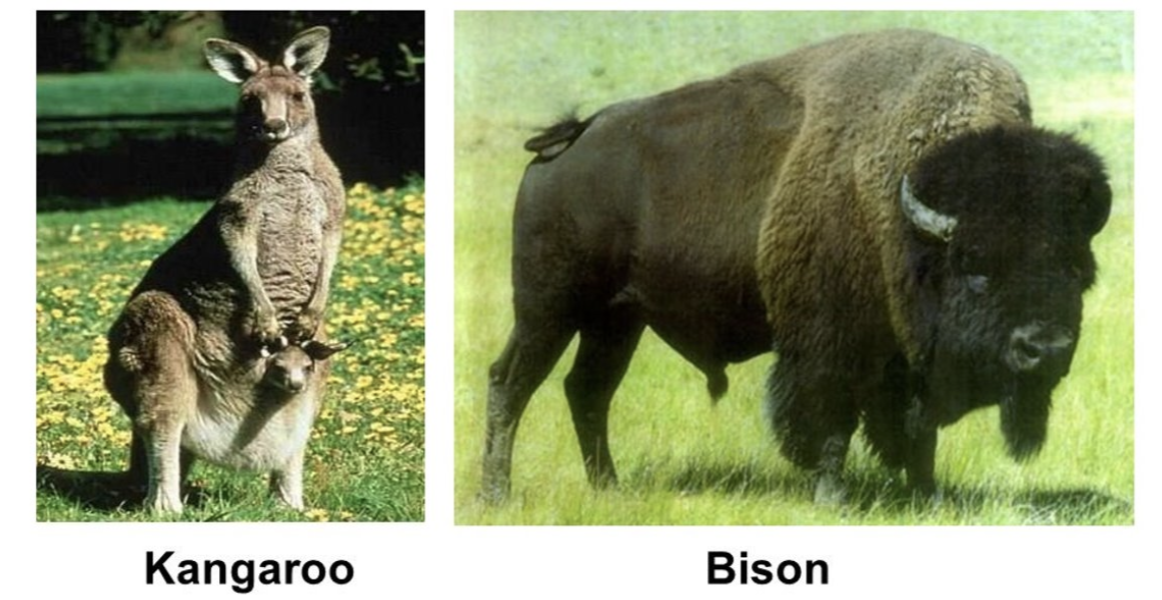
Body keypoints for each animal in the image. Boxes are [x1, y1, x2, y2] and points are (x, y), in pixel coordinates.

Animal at [481, 29, 1111, 504]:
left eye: (1079, 274)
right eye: (977, 267)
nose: (1045, 349)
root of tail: (568, 140)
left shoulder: (906, 362)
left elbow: (918, 432)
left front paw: (927, 496)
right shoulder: (830, 345)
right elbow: (831, 422)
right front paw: (833, 498)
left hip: (616, 321)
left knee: (587, 391)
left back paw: (609, 488)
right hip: (549, 309)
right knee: (511, 382)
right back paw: (498, 495)